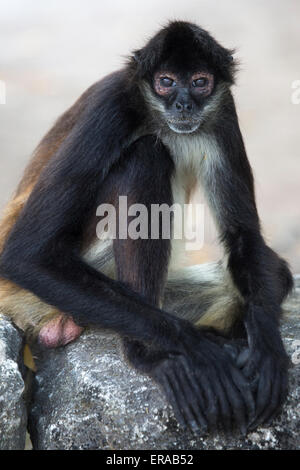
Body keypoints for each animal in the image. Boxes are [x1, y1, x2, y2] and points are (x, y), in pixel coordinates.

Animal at [0, 21, 292, 434]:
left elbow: (242, 234)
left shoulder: (224, 109)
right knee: (146, 156)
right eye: (166, 82)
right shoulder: (112, 106)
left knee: (276, 273)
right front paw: (195, 347)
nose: (183, 104)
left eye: (200, 82)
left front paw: (267, 348)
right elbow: (26, 255)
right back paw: (147, 354)